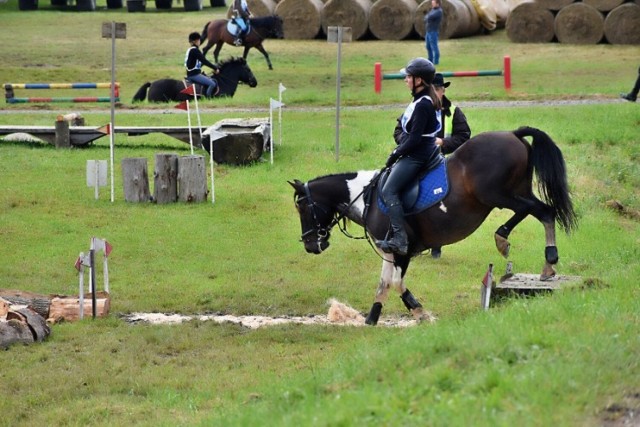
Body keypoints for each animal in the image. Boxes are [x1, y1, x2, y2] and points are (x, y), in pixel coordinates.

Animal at [288, 125, 576, 326]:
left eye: (302, 207)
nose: (311, 245)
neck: (365, 196)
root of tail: (513, 134)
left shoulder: (402, 249)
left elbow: (396, 283)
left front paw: (420, 312)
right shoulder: (389, 250)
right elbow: (383, 284)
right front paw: (371, 319)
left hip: (497, 195)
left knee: (537, 211)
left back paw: (510, 241)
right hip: (516, 191)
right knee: (544, 212)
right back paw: (547, 264)